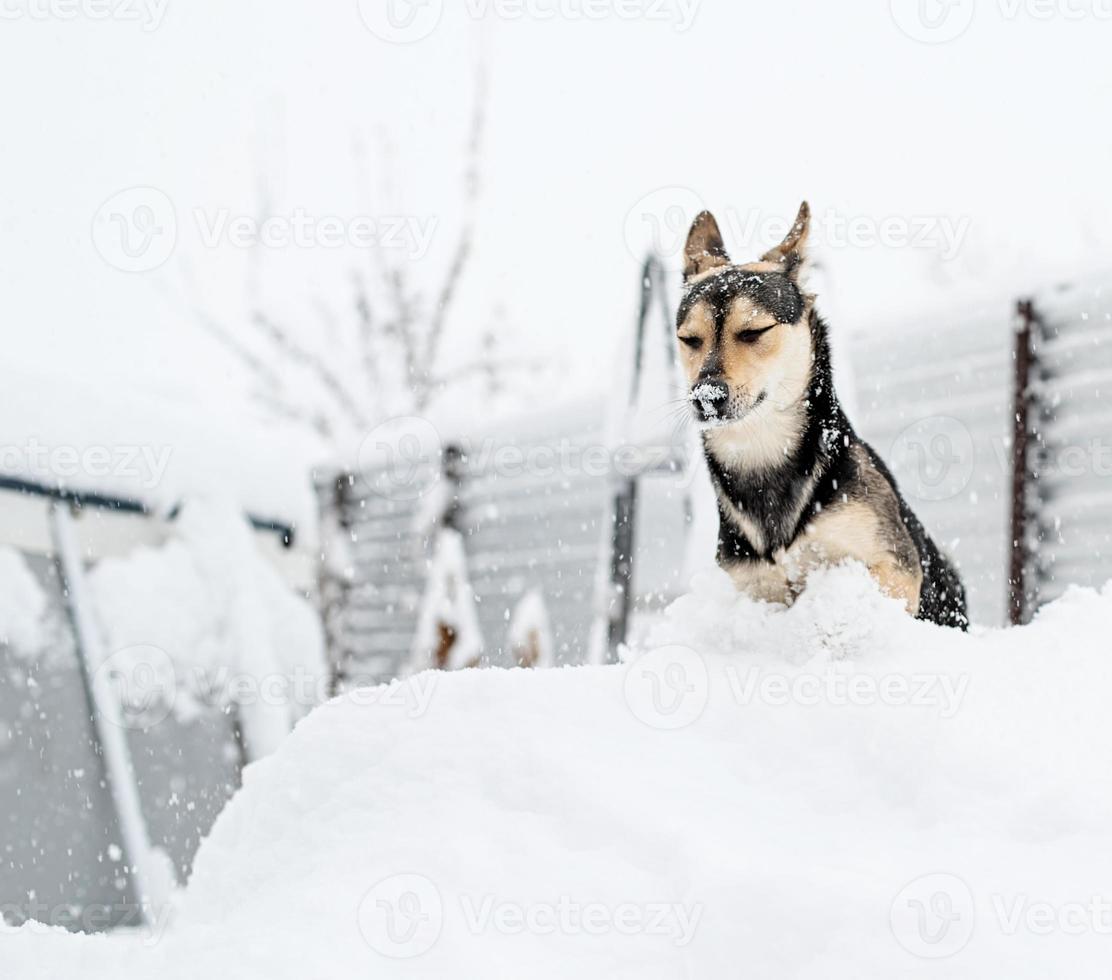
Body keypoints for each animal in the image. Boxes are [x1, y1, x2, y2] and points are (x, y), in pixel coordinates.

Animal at [671, 200, 969, 627]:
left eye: (754, 332)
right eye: (689, 339)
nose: (705, 396)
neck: (763, 452)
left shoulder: (894, 565)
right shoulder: (758, 587)